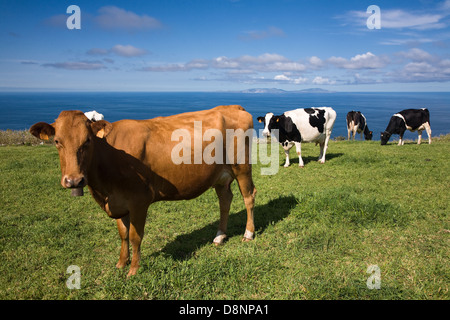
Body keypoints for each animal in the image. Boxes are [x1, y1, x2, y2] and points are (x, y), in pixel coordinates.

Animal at [29, 106, 256, 276]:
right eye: (57, 141)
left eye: (87, 141)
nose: (73, 180)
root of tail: (233, 107)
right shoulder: (119, 201)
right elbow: (122, 234)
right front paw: (121, 263)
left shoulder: (139, 200)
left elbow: (135, 236)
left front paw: (134, 270)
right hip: (221, 175)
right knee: (225, 200)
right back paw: (219, 236)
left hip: (242, 166)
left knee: (248, 197)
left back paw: (248, 233)